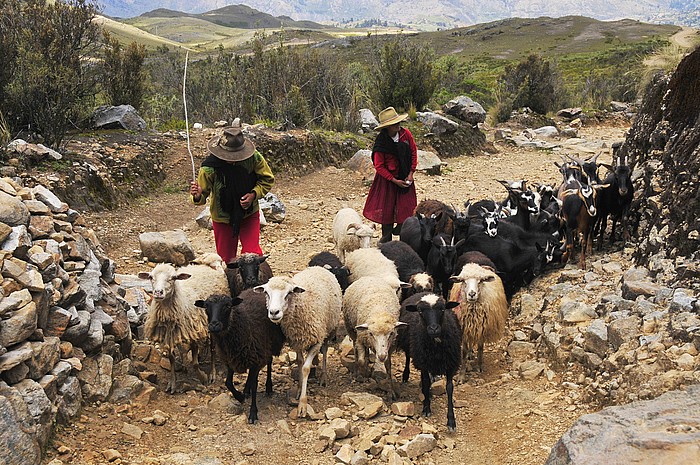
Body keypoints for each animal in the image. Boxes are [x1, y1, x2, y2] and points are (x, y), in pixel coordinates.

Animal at [139, 260, 230, 392]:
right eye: (151, 277)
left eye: (173, 278)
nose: (158, 292)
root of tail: (205, 266)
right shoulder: (169, 336)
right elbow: (171, 359)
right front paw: (172, 383)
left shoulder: (194, 332)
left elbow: (195, 363)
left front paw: (203, 377)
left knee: (213, 348)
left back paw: (212, 373)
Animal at [193, 290, 284, 424]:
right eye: (206, 307)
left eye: (228, 306)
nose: (214, 325)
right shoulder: (230, 359)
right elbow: (228, 383)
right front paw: (240, 397)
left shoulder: (256, 358)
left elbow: (255, 384)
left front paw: (253, 413)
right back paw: (246, 390)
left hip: (269, 345)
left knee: (269, 361)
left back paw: (268, 387)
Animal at [253, 264, 344, 416]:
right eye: (266, 293)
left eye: (289, 293)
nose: (274, 312)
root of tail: (318, 267)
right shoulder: (296, 341)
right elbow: (300, 363)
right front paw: (299, 389)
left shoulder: (316, 340)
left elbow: (306, 368)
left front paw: (302, 403)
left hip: (328, 329)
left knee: (325, 350)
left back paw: (323, 376)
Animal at [396, 292, 462, 430]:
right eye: (420, 311)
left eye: (442, 309)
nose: (434, 329)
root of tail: (420, 292)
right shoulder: (423, 362)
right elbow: (426, 383)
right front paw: (426, 408)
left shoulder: (450, 363)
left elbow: (449, 388)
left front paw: (451, 421)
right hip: (410, 346)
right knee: (408, 357)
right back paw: (406, 375)